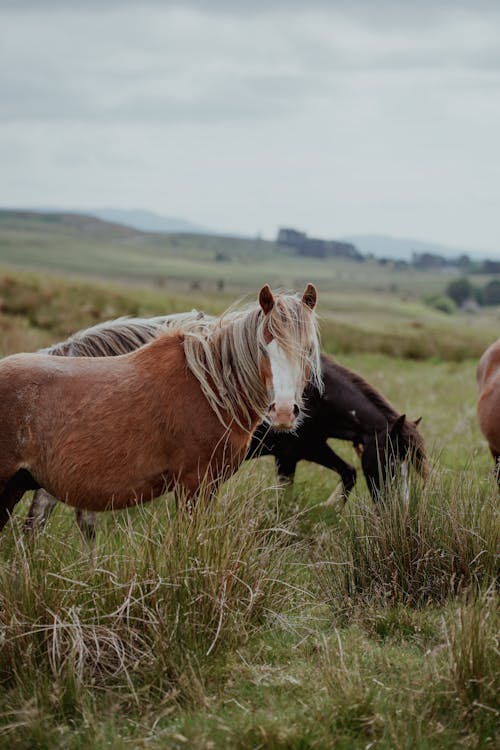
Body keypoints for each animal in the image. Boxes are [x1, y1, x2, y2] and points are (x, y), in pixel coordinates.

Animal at [0, 284, 320, 532]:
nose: (283, 412)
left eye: (308, 350)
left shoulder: (210, 485)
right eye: (264, 347)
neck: (211, 389)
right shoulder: (193, 484)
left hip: (14, 487)